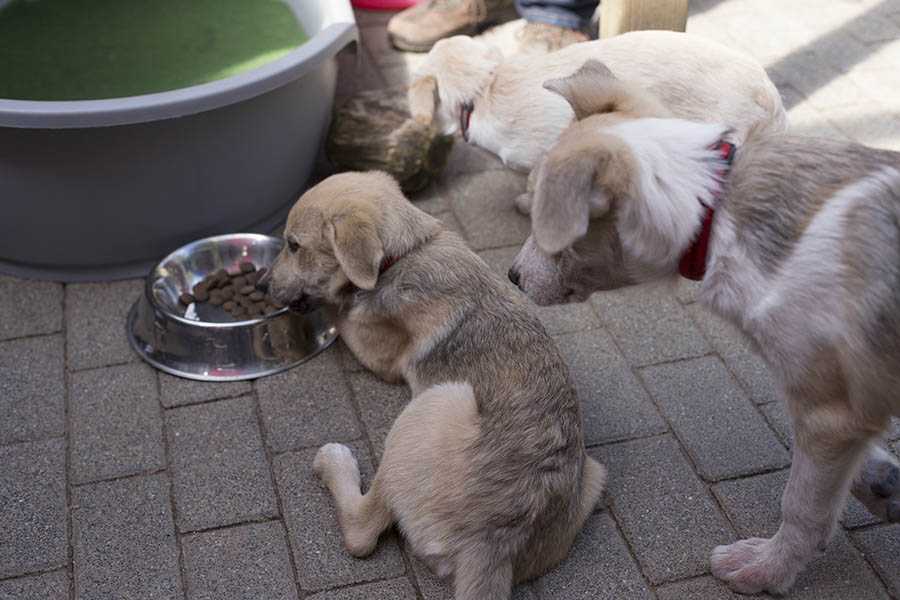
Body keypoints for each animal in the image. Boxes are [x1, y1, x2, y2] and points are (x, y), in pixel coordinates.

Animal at [264, 171, 608, 596]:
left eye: (294, 245)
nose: (261, 285)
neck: (407, 252)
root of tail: (492, 544)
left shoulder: (378, 354)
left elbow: (342, 312)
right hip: (593, 475)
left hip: (436, 401)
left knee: (362, 530)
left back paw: (334, 462)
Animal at [510, 70, 900, 596]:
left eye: (544, 219)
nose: (511, 276)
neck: (716, 213)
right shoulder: (843, 406)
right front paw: (884, 483)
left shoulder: (828, 412)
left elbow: (802, 505)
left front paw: (767, 568)